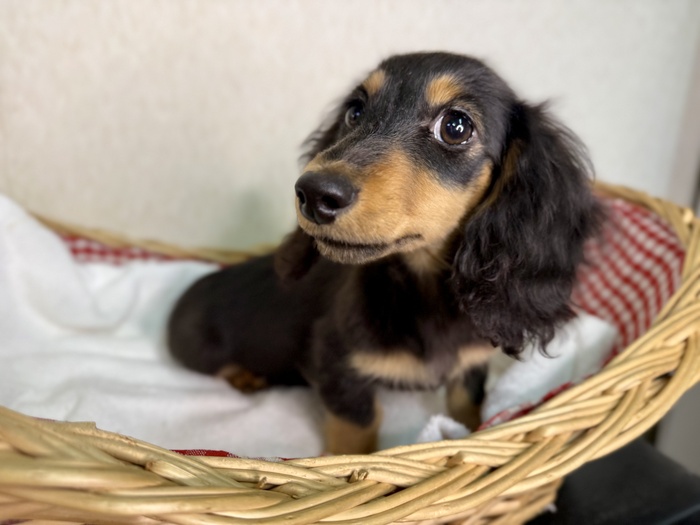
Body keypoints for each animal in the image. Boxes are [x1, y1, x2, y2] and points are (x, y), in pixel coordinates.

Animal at [167, 52, 604, 455]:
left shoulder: (471, 364)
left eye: (456, 126)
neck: (425, 294)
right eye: (355, 111)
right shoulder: (337, 368)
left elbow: (466, 405)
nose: (313, 194)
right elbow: (358, 430)